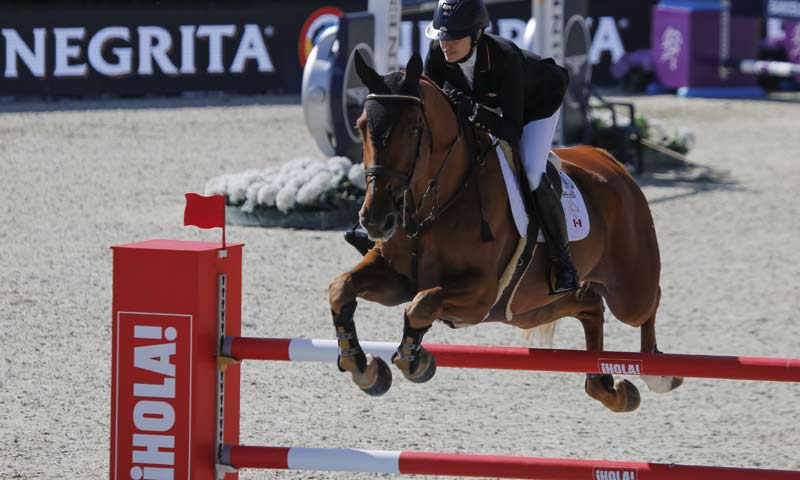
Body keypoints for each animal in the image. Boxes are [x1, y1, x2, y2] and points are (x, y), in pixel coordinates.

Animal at [328, 53, 684, 412]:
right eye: (361, 126)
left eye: (413, 129)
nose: (376, 219)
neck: (432, 204)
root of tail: (613, 164)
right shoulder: (397, 279)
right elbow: (341, 287)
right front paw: (364, 368)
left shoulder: (480, 294)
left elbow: (421, 304)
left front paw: (415, 361)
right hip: (530, 307)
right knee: (591, 306)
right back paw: (609, 388)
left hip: (628, 292)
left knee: (648, 302)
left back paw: (659, 373)